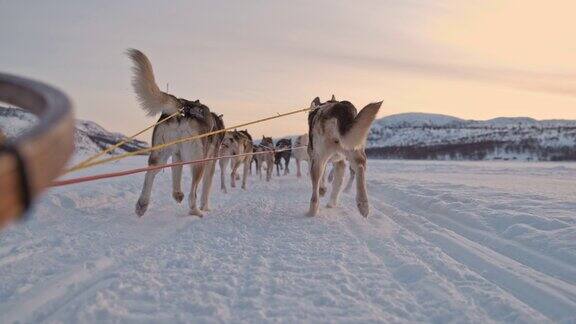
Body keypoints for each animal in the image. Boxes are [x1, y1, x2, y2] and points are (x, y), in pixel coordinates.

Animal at [127, 49, 224, 216]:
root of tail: (184, 109)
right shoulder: (209, 163)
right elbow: (205, 190)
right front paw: (206, 207)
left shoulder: (177, 156)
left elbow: (176, 176)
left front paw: (177, 194)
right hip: (198, 161)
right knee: (193, 193)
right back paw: (196, 211)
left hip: (160, 155)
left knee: (149, 174)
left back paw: (142, 204)